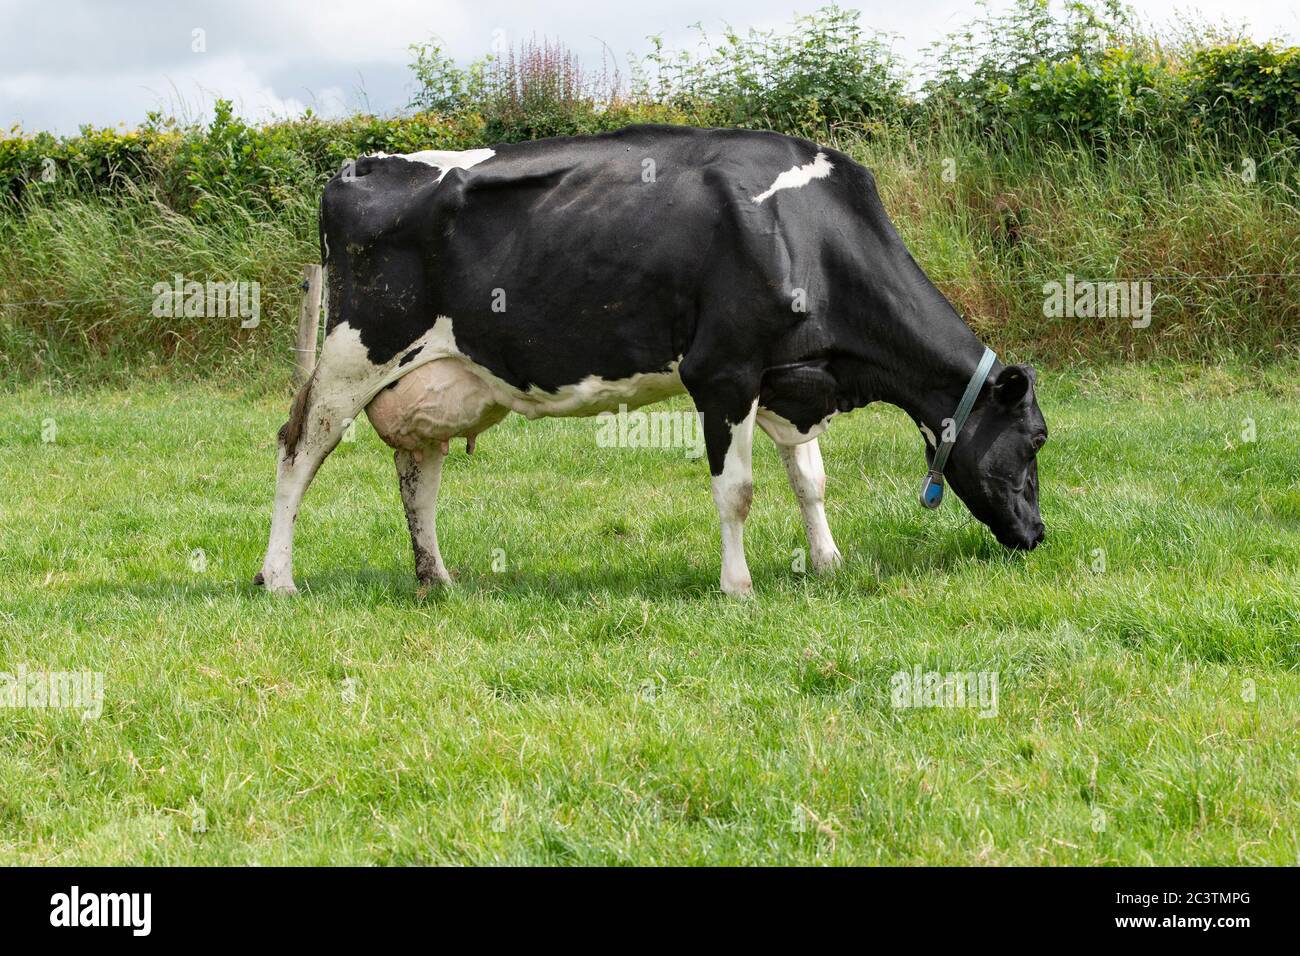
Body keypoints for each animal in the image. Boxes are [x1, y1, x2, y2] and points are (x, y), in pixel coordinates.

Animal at [254, 125, 1046, 598]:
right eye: (1036, 440)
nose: (1038, 536)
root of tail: (361, 163)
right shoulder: (722, 374)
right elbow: (738, 491)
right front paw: (738, 586)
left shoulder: (789, 379)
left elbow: (810, 481)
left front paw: (827, 562)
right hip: (353, 353)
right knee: (299, 449)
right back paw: (278, 577)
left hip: (430, 375)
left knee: (418, 473)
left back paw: (436, 578)